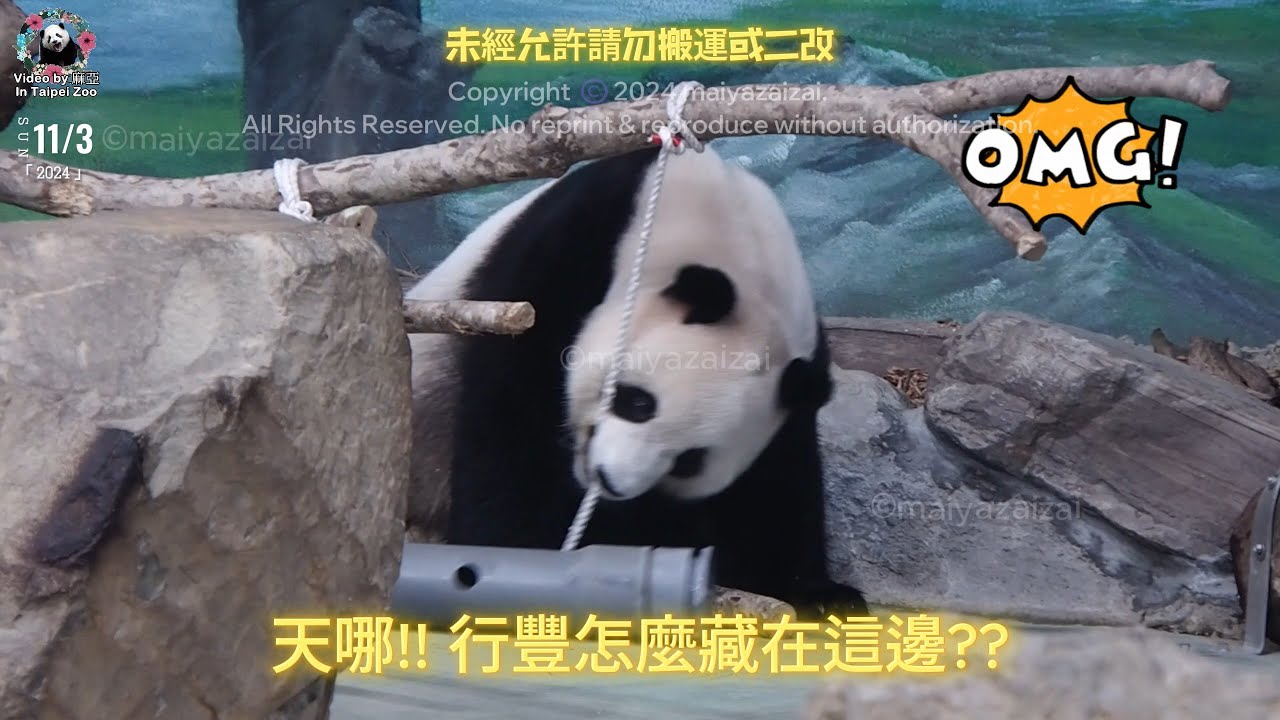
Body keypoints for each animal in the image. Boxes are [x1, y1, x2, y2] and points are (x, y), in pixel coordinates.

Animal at [407, 143, 868, 618]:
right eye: (638, 402)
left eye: (689, 461)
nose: (610, 480)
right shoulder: (560, 260)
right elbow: (508, 419)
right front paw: (516, 555)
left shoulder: (797, 378)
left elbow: (777, 486)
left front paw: (822, 594)